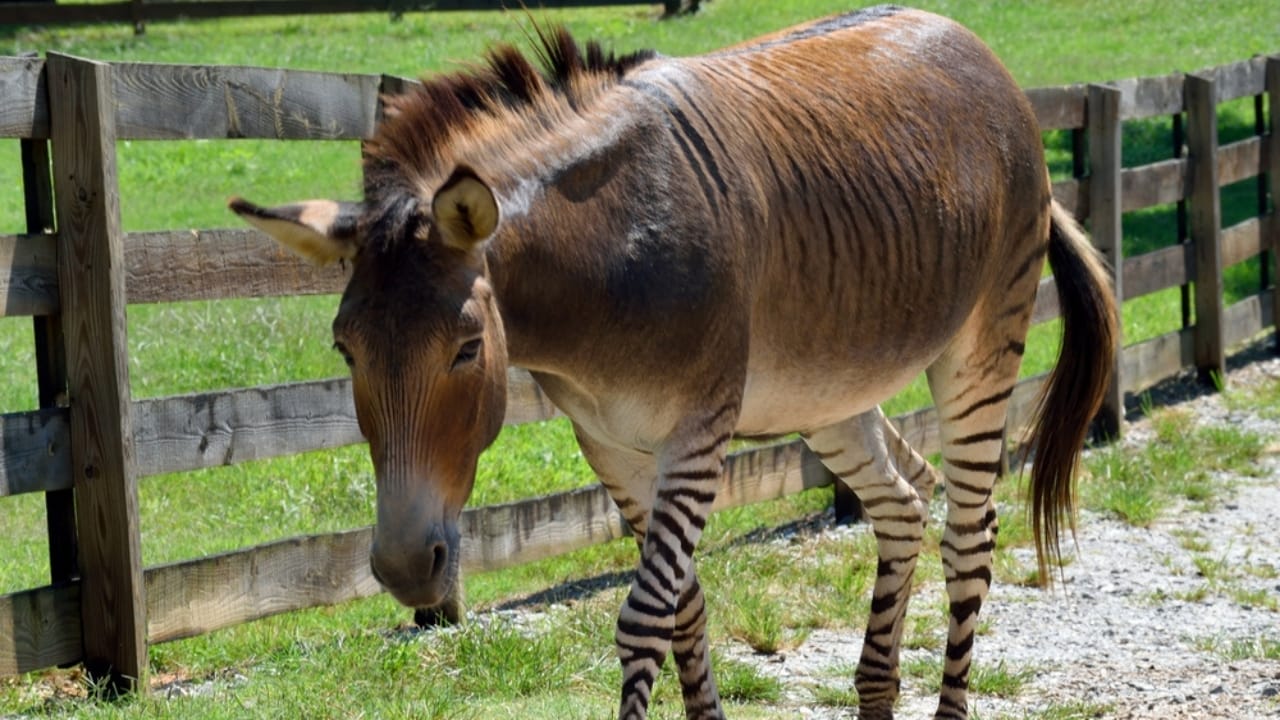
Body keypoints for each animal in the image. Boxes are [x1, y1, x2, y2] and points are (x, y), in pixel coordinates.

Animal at [231, 6, 1117, 718]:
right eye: (344, 348)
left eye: (467, 349)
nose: (407, 568)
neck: (609, 255)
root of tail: (971, 42)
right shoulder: (611, 445)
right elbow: (686, 609)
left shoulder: (697, 430)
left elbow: (646, 616)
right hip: (828, 392)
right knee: (903, 500)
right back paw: (874, 689)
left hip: (983, 346)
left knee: (970, 535)